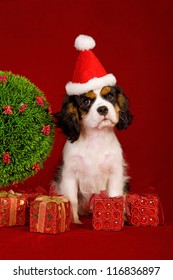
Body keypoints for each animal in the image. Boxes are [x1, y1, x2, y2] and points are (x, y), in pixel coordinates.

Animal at [53, 85, 132, 223]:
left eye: (110, 96)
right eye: (86, 102)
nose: (103, 109)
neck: (96, 136)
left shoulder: (115, 172)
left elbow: (114, 195)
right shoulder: (69, 174)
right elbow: (72, 200)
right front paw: (74, 221)